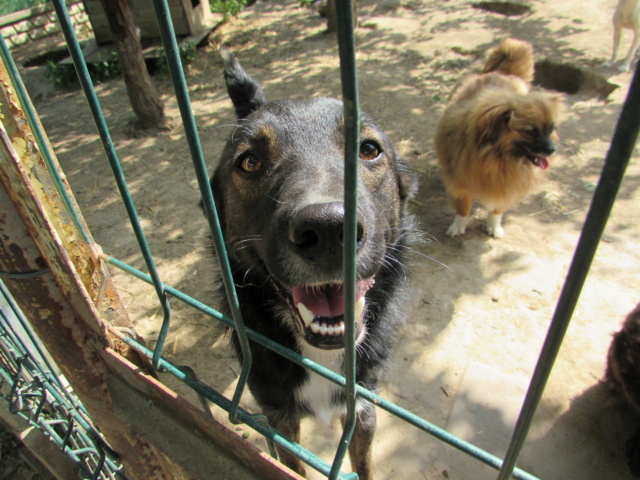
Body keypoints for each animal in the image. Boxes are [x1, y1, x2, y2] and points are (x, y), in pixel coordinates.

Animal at [432, 37, 564, 238]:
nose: (552, 150)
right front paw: (458, 226)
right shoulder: (460, 182)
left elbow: (497, 209)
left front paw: (494, 226)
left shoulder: (505, 186)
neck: (496, 157)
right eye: (531, 131)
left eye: (550, 130)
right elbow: (463, 207)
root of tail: (502, 72)